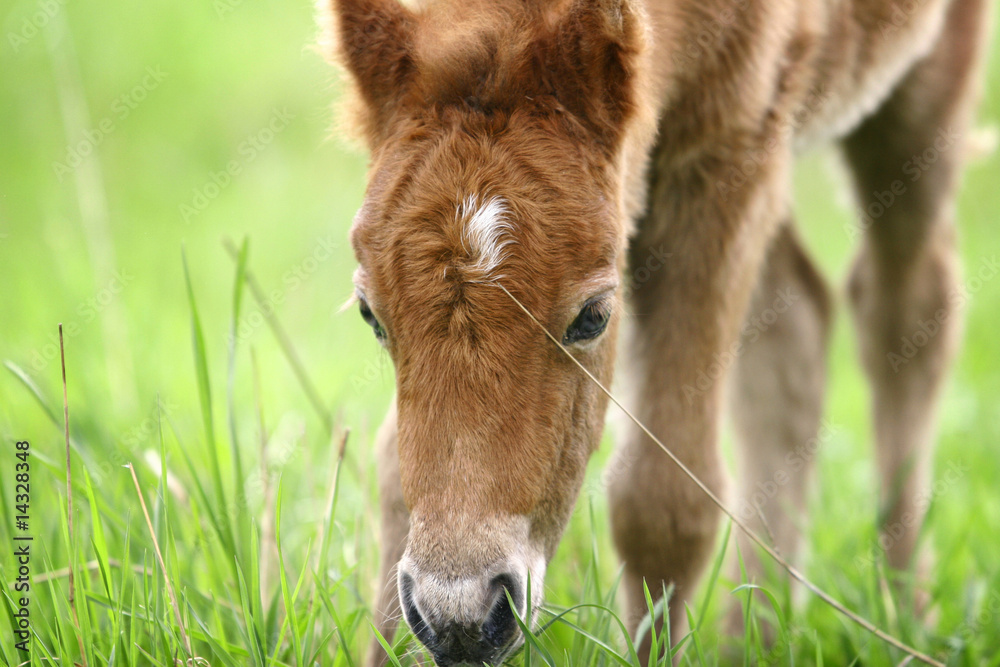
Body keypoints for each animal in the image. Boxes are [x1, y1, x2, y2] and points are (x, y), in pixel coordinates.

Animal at [320, 0, 990, 663]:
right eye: (369, 313)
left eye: (593, 316)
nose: (460, 618)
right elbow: (390, 470)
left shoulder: (729, 151)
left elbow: (663, 502)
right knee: (796, 319)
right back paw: (754, 642)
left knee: (906, 310)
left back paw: (906, 617)